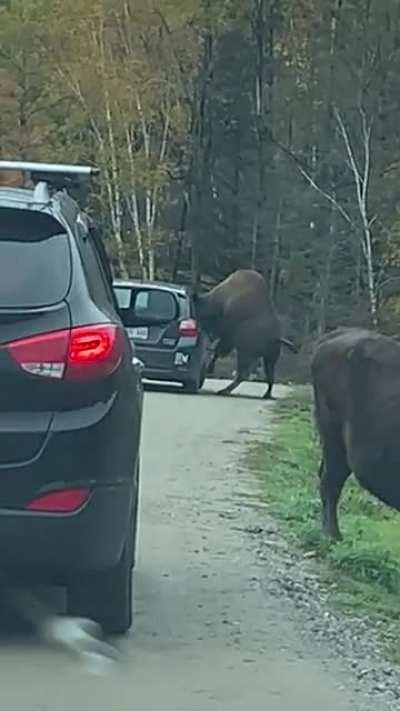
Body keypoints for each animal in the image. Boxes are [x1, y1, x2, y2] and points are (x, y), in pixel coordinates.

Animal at [193, 269, 297, 398]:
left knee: (243, 374)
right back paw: (266, 394)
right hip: (269, 358)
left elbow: (218, 350)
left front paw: (209, 369)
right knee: (269, 376)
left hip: (245, 353)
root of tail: (276, 337)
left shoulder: (228, 334)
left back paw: (224, 391)